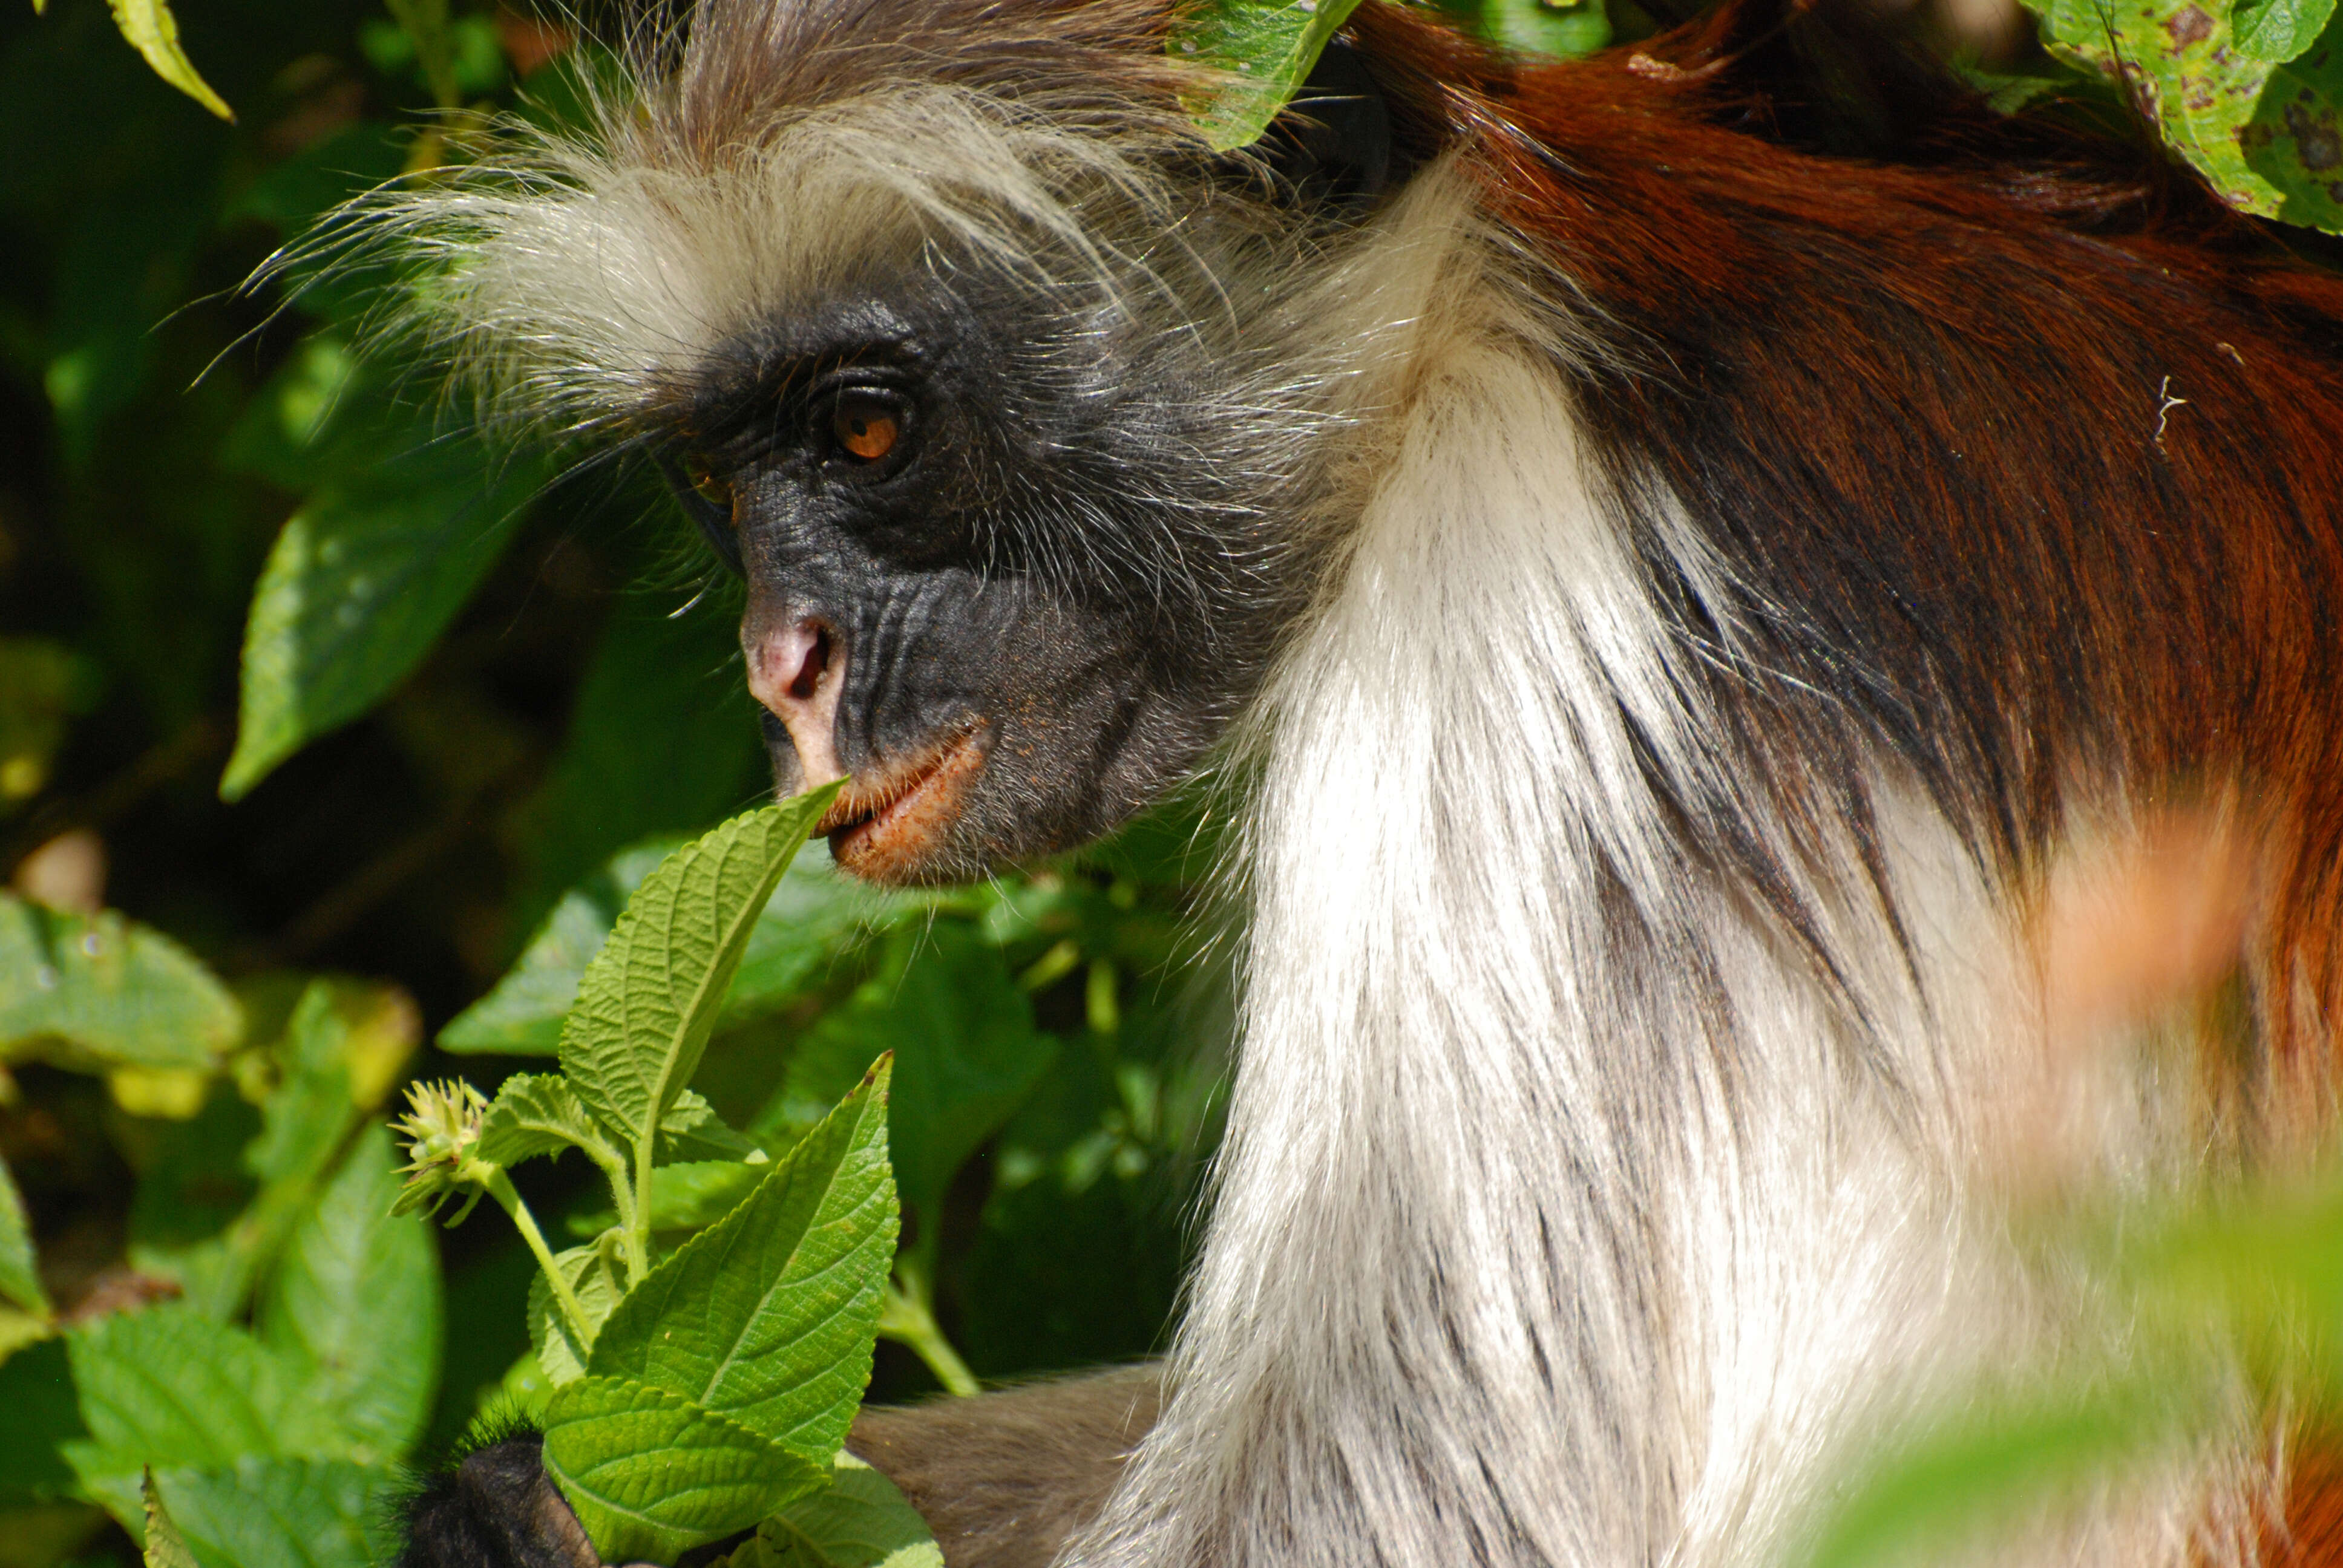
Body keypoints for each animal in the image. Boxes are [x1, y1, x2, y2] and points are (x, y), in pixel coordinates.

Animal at [379, 3, 2343, 1566]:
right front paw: (535, 1502)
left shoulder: (1510, 614)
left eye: (865, 428)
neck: (1505, 297)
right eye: (721, 484)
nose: (783, 664)